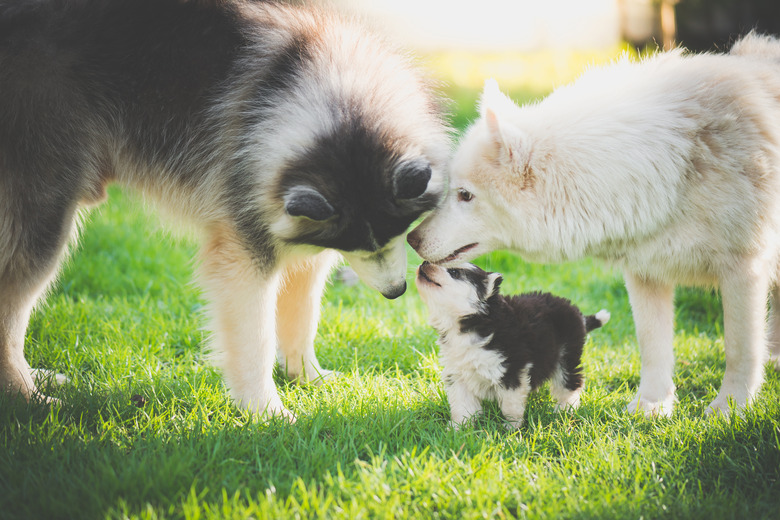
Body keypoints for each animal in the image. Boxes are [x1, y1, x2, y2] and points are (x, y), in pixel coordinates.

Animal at [0, 0, 450, 418]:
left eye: (398, 232)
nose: (396, 292)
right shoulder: (243, 241)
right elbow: (255, 336)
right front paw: (266, 411)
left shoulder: (304, 228)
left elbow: (303, 309)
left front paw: (308, 376)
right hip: (45, 196)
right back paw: (26, 395)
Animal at [414, 262, 608, 428]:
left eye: (454, 272)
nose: (424, 262)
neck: (472, 320)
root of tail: (579, 316)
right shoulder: (458, 375)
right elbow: (462, 406)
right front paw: (458, 429)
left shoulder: (512, 370)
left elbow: (510, 405)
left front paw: (511, 428)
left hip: (566, 356)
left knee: (570, 383)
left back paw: (565, 409)